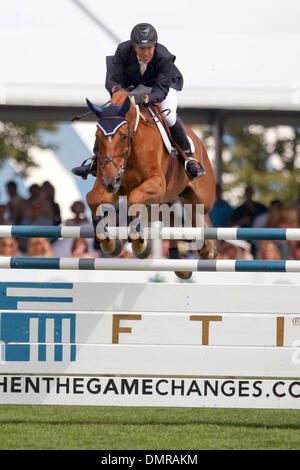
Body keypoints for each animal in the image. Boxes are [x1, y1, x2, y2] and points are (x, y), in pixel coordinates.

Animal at [85, 90, 216, 278]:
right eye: (97, 136)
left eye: (124, 136)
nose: (110, 182)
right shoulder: (114, 185)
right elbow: (93, 198)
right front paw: (109, 242)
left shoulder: (157, 184)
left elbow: (134, 198)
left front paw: (139, 244)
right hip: (165, 200)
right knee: (173, 216)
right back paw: (183, 258)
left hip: (201, 195)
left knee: (200, 211)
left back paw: (207, 248)